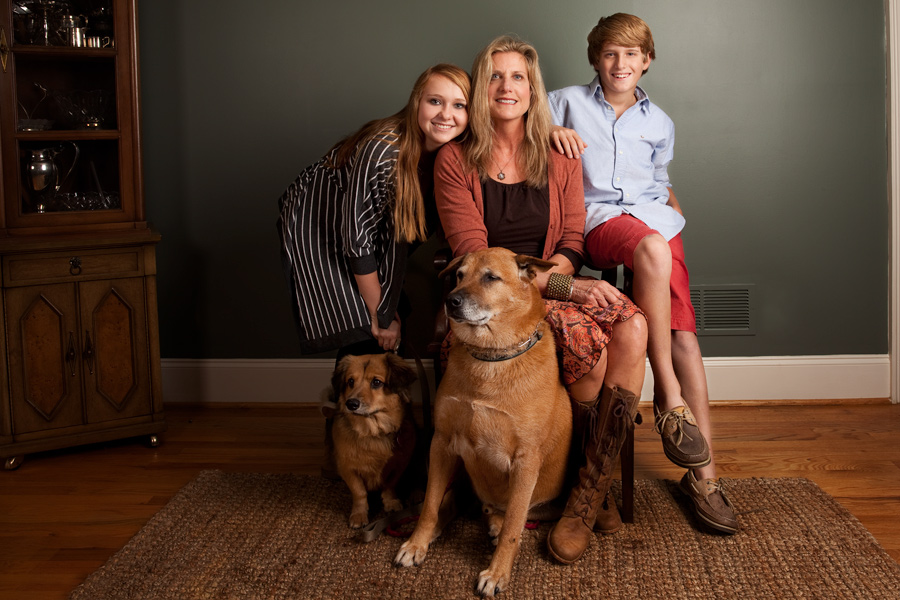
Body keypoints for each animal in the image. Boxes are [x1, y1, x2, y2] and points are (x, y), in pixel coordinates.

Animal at [330, 354, 418, 528]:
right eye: (350, 381)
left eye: (376, 382)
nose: (351, 403)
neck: (372, 432)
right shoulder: (347, 468)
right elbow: (359, 492)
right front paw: (359, 514)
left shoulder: (399, 465)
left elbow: (390, 484)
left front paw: (391, 503)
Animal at [398, 247, 572, 596]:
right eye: (459, 275)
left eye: (491, 277)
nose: (451, 300)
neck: (491, 357)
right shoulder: (441, 443)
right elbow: (429, 505)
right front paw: (417, 543)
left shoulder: (526, 461)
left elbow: (514, 527)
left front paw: (497, 572)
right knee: (453, 502)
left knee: (509, 514)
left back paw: (494, 522)